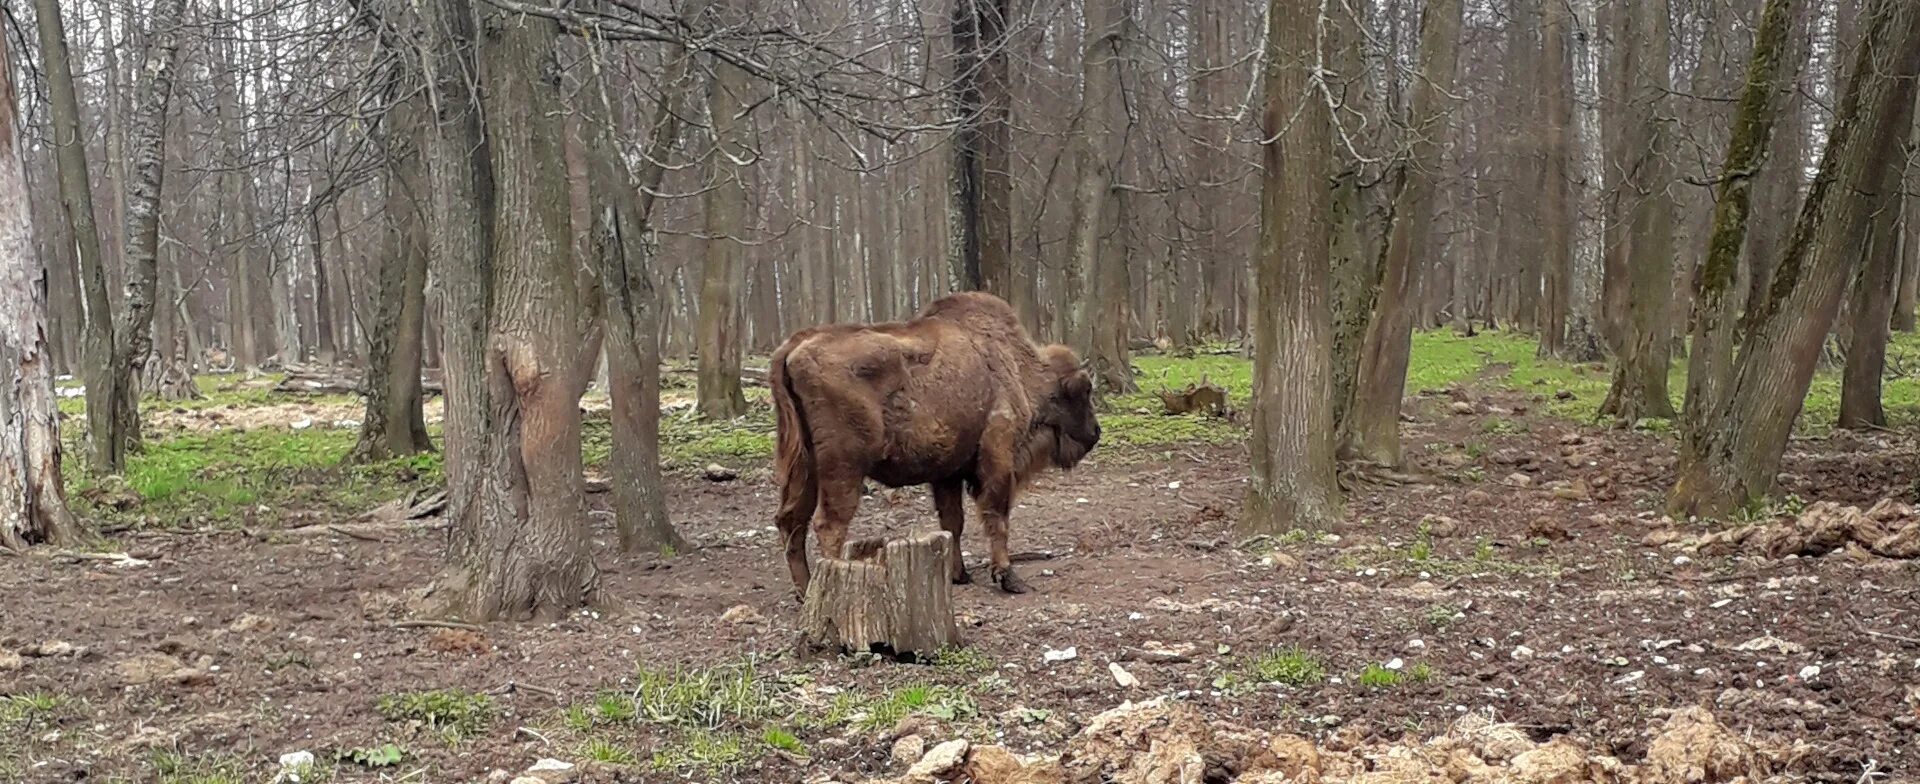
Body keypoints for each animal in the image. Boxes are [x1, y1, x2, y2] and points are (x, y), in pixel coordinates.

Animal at [760, 294, 1098, 595]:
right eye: (1085, 392)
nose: (1095, 432)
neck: (1016, 367)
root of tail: (794, 347)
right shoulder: (998, 459)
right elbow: (997, 517)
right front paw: (1008, 577)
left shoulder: (947, 473)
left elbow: (953, 522)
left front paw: (959, 574)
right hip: (843, 467)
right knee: (828, 524)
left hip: (803, 465)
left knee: (791, 521)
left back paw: (805, 591)